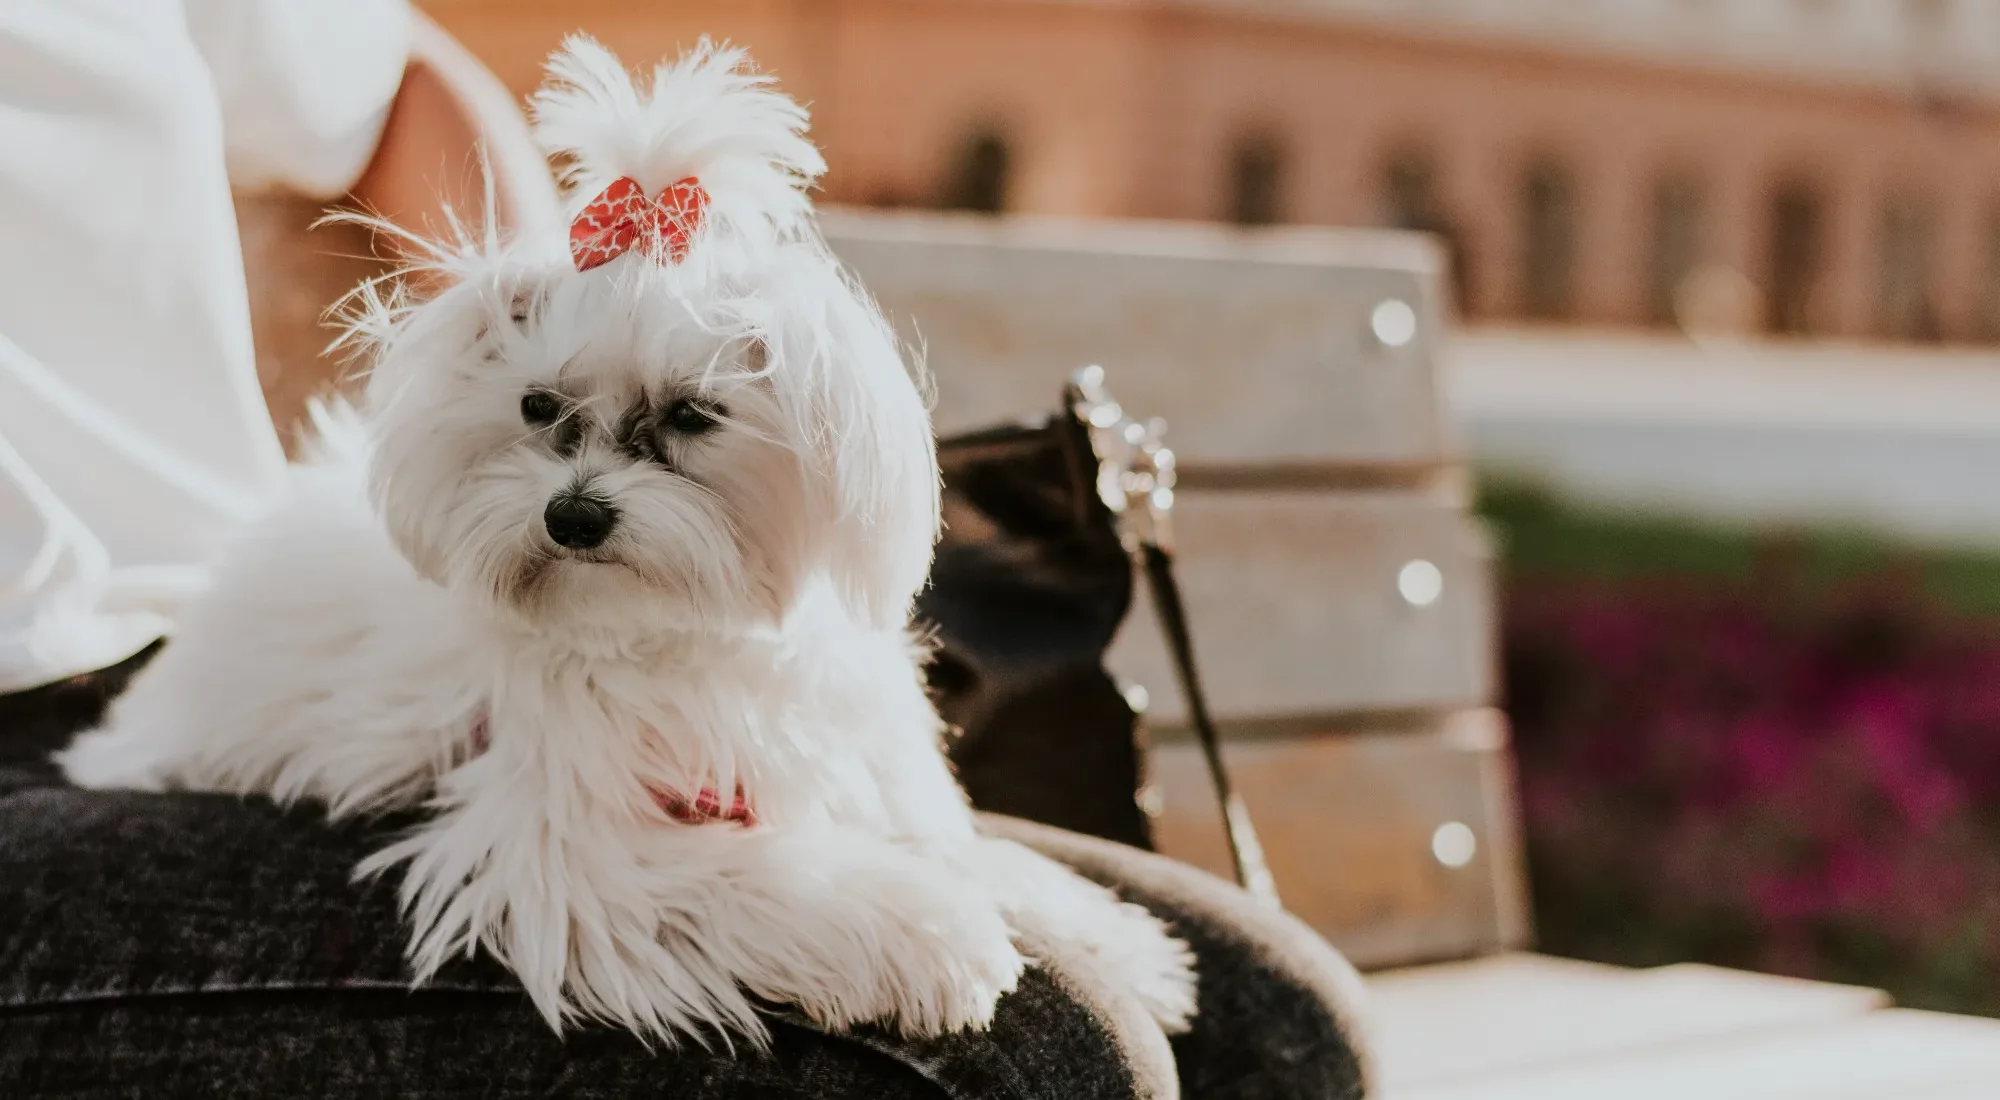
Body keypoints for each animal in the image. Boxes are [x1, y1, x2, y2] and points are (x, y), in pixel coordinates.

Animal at [58, 36, 1184, 1056]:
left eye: (690, 414)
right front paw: (930, 940)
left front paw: (1111, 939)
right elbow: (766, 877)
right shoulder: (574, 848)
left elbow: (966, 849)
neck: (668, 636)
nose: (572, 516)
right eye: (537, 405)